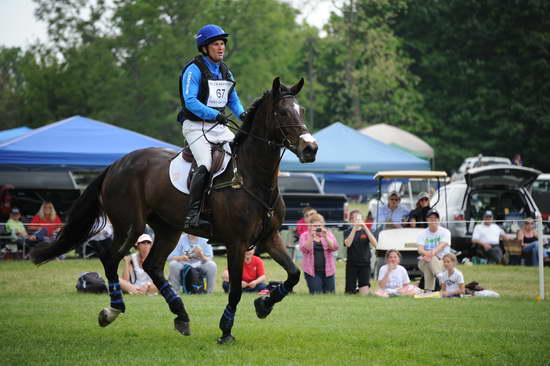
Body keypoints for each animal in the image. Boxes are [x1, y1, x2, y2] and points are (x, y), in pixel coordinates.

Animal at [31, 76, 320, 344]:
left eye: (302, 110)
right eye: (282, 113)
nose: (310, 149)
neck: (252, 177)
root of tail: (117, 164)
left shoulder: (269, 238)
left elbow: (294, 275)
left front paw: (263, 304)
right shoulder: (236, 243)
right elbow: (236, 289)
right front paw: (226, 331)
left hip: (168, 229)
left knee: (152, 265)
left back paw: (181, 315)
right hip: (130, 226)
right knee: (110, 257)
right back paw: (112, 310)